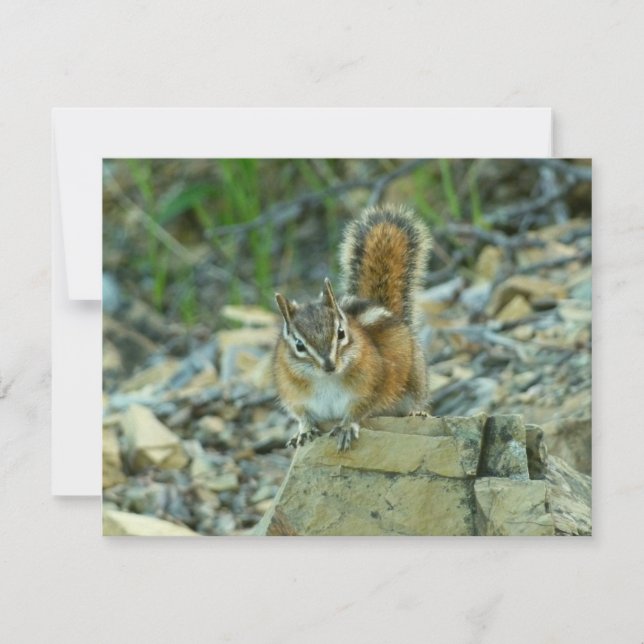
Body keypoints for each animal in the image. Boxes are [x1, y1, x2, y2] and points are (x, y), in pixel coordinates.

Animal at [273, 205, 432, 451]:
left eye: (340, 333)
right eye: (299, 345)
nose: (329, 365)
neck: (326, 380)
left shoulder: (370, 387)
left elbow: (358, 410)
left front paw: (346, 427)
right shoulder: (294, 396)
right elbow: (302, 415)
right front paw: (304, 430)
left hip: (415, 380)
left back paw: (417, 413)